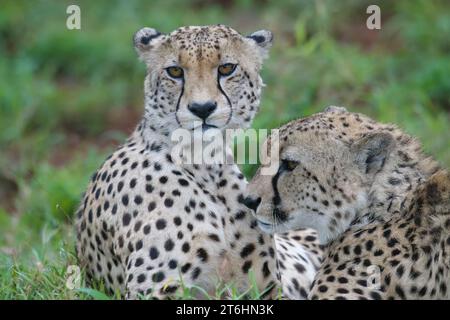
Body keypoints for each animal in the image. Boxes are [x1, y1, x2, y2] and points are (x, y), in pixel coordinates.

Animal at [75, 25, 322, 300]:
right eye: (174, 71)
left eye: (227, 68)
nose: (202, 108)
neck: (206, 164)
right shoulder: (150, 290)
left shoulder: (263, 289)